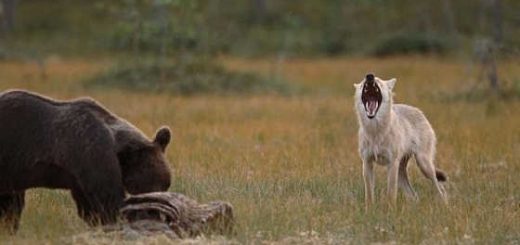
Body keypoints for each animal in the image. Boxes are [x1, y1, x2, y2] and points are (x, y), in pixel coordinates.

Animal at [0, 89, 173, 232]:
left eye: (166, 183)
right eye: (149, 183)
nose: (161, 204)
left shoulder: (79, 176)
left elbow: (89, 207)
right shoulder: (92, 152)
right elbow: (108, 201)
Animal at [354, 73, 446, 207]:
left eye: (378, 82)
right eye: (363, 84)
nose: (369, 76)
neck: (375, 131)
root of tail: (420, 112)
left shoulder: (392, 163)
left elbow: (391, 194)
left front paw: (390, 210)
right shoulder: (367, 163)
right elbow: (369, 195)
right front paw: (369, 211)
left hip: (423, 165)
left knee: (441, 189)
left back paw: (446, 206)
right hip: (402, 173)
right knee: (414, 195)